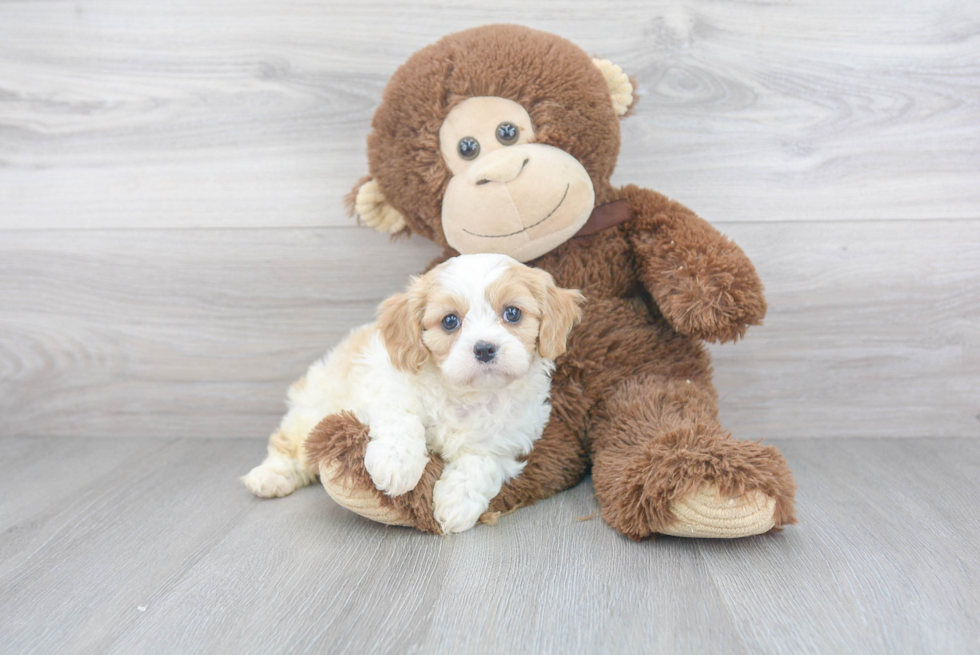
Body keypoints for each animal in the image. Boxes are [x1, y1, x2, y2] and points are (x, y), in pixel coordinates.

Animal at [242, 254, 584, 536]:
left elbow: (480, 464)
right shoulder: (382, 388)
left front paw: (456, 503)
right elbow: (402, 420)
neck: (468, 395)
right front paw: (396, 466)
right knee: (289, 445)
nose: (485, 348)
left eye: (512, 313)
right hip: (315, 405)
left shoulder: (505, 443)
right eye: (450, 321)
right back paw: (270, 477)